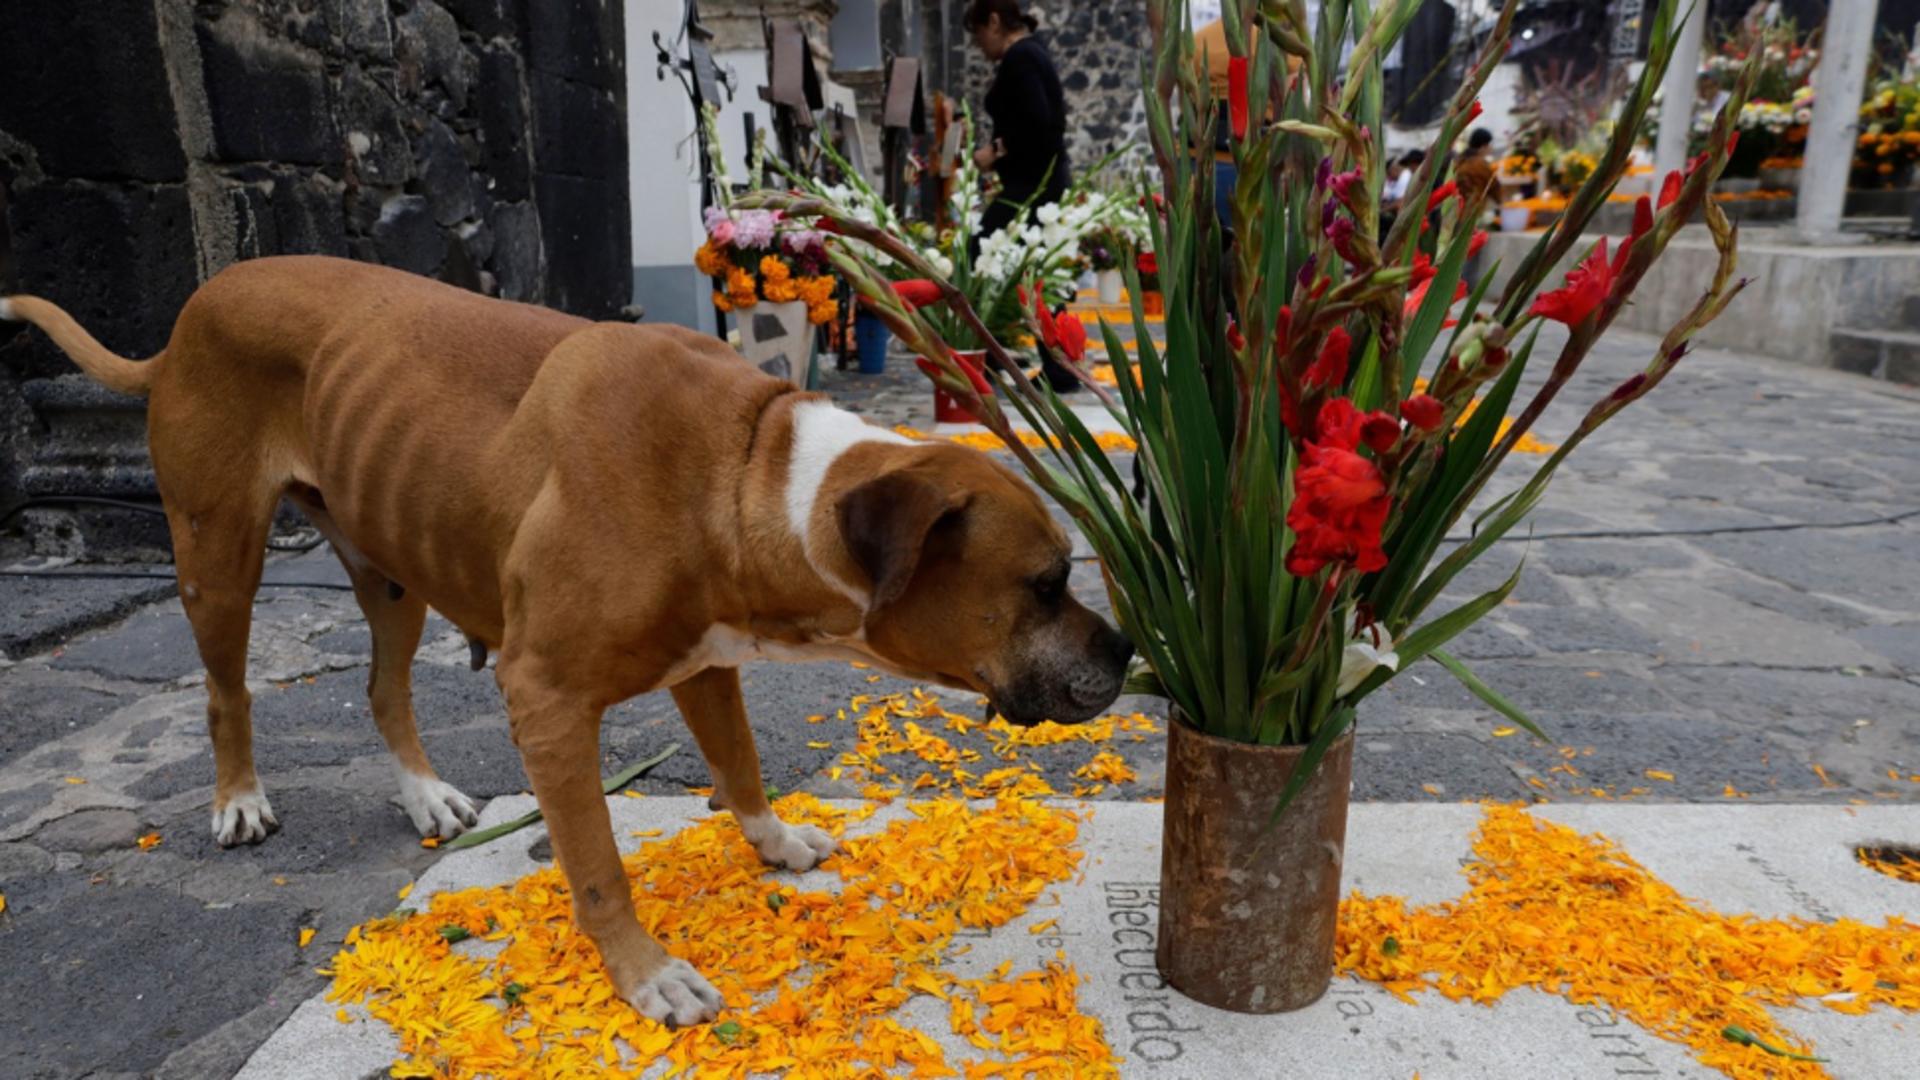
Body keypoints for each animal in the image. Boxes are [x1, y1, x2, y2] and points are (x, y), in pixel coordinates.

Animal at [0, 255, 1121, 1022]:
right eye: (1047, 582)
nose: (1124, 654)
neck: (751, 473)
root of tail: (190, 313)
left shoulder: (707, 663)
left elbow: (741, 765)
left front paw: (772, 842)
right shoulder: (546, 702)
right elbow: (595, 867)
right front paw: (647, 974)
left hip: (391, 567)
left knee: (383, 689)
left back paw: (424, 794)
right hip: (217, 557)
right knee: (225, 690)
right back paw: (238, 799)